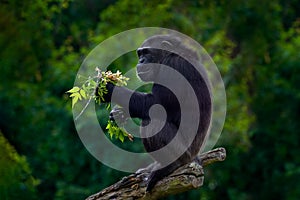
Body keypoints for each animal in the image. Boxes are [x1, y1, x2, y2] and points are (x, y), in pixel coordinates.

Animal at [100, 34, 211, 192]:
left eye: (146, 53)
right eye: (140, 54)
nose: (141, 61)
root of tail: (195, 157)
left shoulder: (174, 67)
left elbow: (155, 105)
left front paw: (108, 88)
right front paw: (119, 114)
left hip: (185, 154)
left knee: (153, 123)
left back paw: (171, 165)